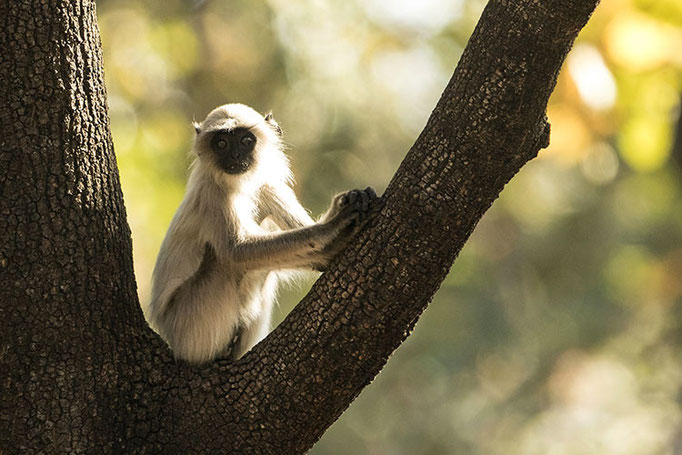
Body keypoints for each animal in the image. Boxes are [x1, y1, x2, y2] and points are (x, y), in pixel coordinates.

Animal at [147, 103, 378, 364]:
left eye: (246, 141)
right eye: (222, 144)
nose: (236, 156)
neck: (237, 186)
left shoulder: (268, 186)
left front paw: (330, 247)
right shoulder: (212, 194)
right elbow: (236, 252)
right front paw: (334, 228)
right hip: (190, 324)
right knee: (222, 262)